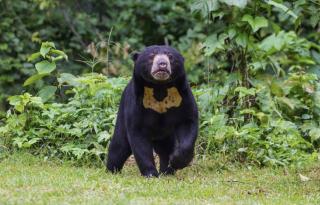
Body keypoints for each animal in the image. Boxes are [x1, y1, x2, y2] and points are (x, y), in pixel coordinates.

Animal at [106, 45, 199, 177]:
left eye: (170, 56)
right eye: (151, 56)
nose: (162, 64)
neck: (159, 87)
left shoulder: (182, 97)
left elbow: (188, 122)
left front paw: (176, 161)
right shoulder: (137, 101)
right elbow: (138, 136)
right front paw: (150, 174)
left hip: (166, 134)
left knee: (165, 149)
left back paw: (167, 171)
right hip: (122, 114)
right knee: (119, 146)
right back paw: (111, 170)